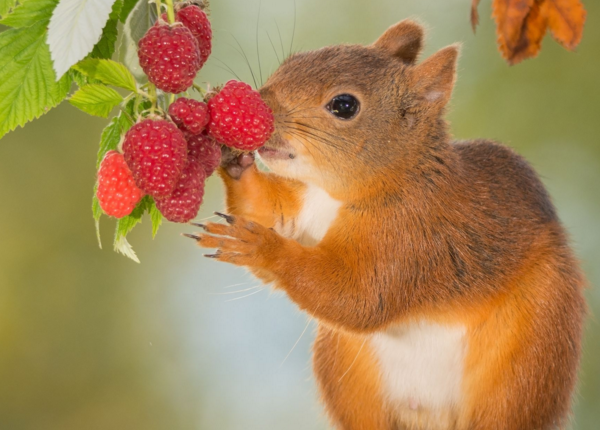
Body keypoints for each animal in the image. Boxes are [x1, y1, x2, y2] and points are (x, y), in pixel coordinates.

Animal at [186, 19, 584, 430]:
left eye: (344, 105)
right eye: (292, 61)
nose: (259, 106)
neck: (341, 195)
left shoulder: (414, 236)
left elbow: (360, 296)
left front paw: (259, 246)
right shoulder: (303, 204)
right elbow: (264, 209)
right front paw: (232, 158)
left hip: (526, 362)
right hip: (347, 372)